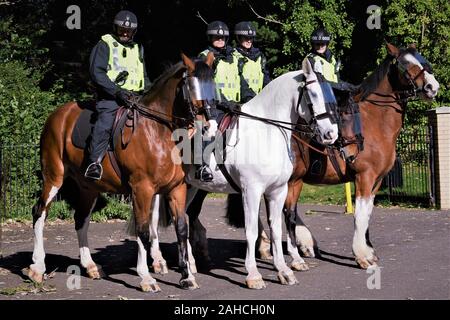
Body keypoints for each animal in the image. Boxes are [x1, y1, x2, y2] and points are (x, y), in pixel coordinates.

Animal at [25, 53, 216, 292]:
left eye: (213, 84)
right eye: (192, 86)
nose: (209, 127)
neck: (159, 132)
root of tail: (57, 115)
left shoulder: (176, 189)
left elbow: (181, 228)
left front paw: (186, 276)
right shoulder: (142, 189)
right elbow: (143, 230)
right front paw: (147, 278)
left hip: (89, 187)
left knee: (80, 219)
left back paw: (90, 266)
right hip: (54, 176)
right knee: (40, 212)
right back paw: (37, 267)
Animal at [144, 58, 338, 290]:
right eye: (314, 94)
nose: (331, 134)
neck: (266, 132)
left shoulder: (278, 191)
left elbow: (277, 229)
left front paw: (284, 271)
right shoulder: (251, 191)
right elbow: (251, 231)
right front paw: (254, 275)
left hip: (190, 188)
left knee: (184, 218)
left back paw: (190, 264)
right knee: (155, 219)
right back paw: (159, 263)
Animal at [284, 42, 440, 268]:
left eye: (422, 59)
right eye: (405, 64)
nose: (432, 87)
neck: (373, 122)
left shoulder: (377, 180)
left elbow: (367, 214)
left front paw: (368, 249)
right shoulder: (364, 177)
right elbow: (359, 215)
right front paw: (362, 255)